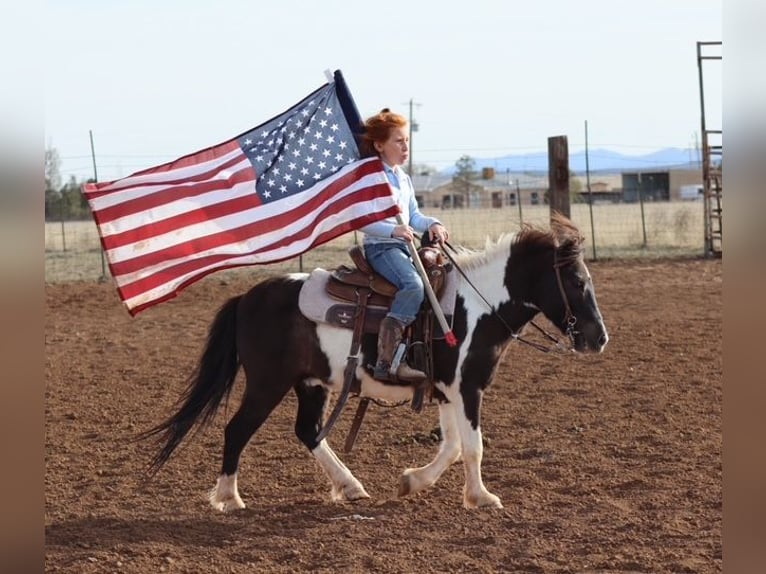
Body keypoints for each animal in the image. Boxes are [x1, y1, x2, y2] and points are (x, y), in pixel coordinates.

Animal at [141, 213, 608, 510]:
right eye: (576, 280)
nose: (598, 338)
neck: (478, 304)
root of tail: (247, 297)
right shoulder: (467, 386)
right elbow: (472, 446)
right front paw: (482, 498)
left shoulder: (446, 390)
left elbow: (453, 446)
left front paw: (412, 481)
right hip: (266, 383)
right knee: (237, 430)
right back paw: (228, 498)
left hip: (311, 383)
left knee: (307, 432)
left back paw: (349, 487)